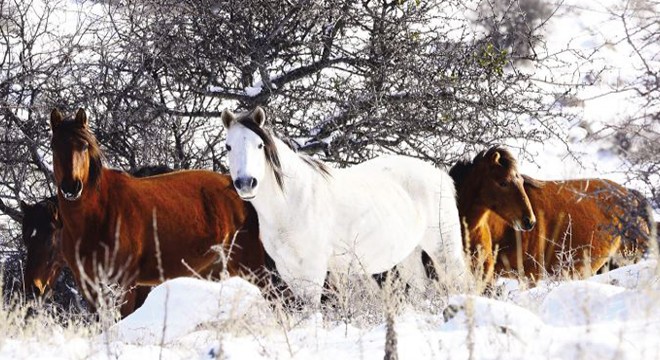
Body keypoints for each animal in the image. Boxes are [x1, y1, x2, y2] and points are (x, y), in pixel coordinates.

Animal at [47, 108, 274, 316]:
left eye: (84, 146)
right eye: (53, 146)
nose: (71, 187)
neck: (97, 218)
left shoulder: (125, 283)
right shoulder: (89, 285)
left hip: (252, 265)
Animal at [223, 107, 470, 306]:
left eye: (260, 145)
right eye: (228, 147)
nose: (246, 183)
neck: (291, 202)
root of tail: (441, 175)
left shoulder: (314, 268)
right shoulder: (288, 269)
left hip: (443, 248)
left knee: (459, 281)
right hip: (409, 252)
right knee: (419, 287)